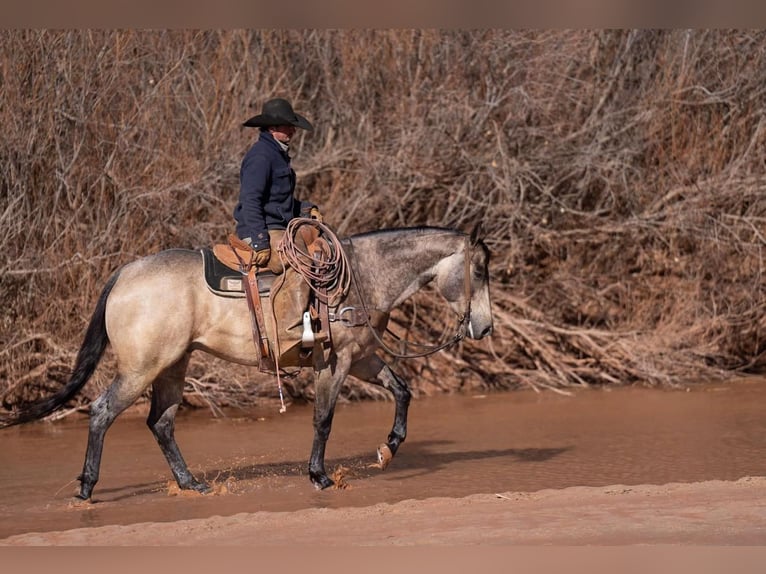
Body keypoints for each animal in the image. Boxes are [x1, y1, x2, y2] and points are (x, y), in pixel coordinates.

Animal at [1, 223, 492, 502]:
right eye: (480, 270)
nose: (484, 327)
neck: (363, 276)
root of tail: (125, 273)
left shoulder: (363, 359)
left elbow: (402, 390)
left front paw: (388, 448)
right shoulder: (336, 365)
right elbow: (323, 420)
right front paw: (319, 476)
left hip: (173, 366)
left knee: (161, 423)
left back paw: (191, 484)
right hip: (141, 368)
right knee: (103, 411)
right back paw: (87, 487)